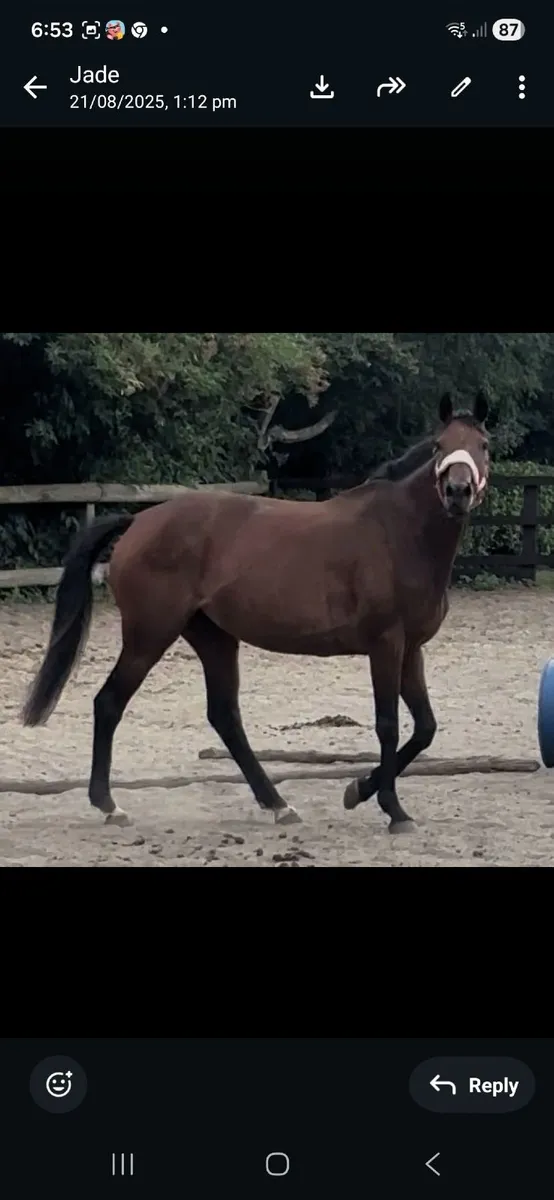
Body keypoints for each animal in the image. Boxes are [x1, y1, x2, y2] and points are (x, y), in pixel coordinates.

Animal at [22, 391, 490, 832]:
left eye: (483, 444)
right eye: (439, 446)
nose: (457, 492)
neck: (398, 533)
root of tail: (139, 522)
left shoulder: (411, 648)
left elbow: (425, 728)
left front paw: (358, 790)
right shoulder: (386, 644)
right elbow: (388, 725)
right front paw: (393, 810)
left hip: (212, 637)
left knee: (224, 716)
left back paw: (278, 804)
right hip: (149, 634)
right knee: (109, 703)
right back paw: (109, 805)